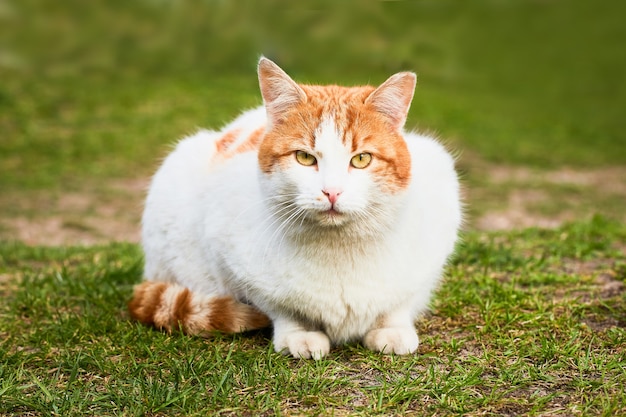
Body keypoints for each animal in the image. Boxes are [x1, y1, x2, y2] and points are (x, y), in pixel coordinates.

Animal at [129, 57, 460, 360]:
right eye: (304, 157)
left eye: (361, 159)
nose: (332, 191)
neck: (338, 249)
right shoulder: (228, 252)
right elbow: (279, 306)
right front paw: (298, 333)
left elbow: (401, 300)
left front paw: (392, 328)